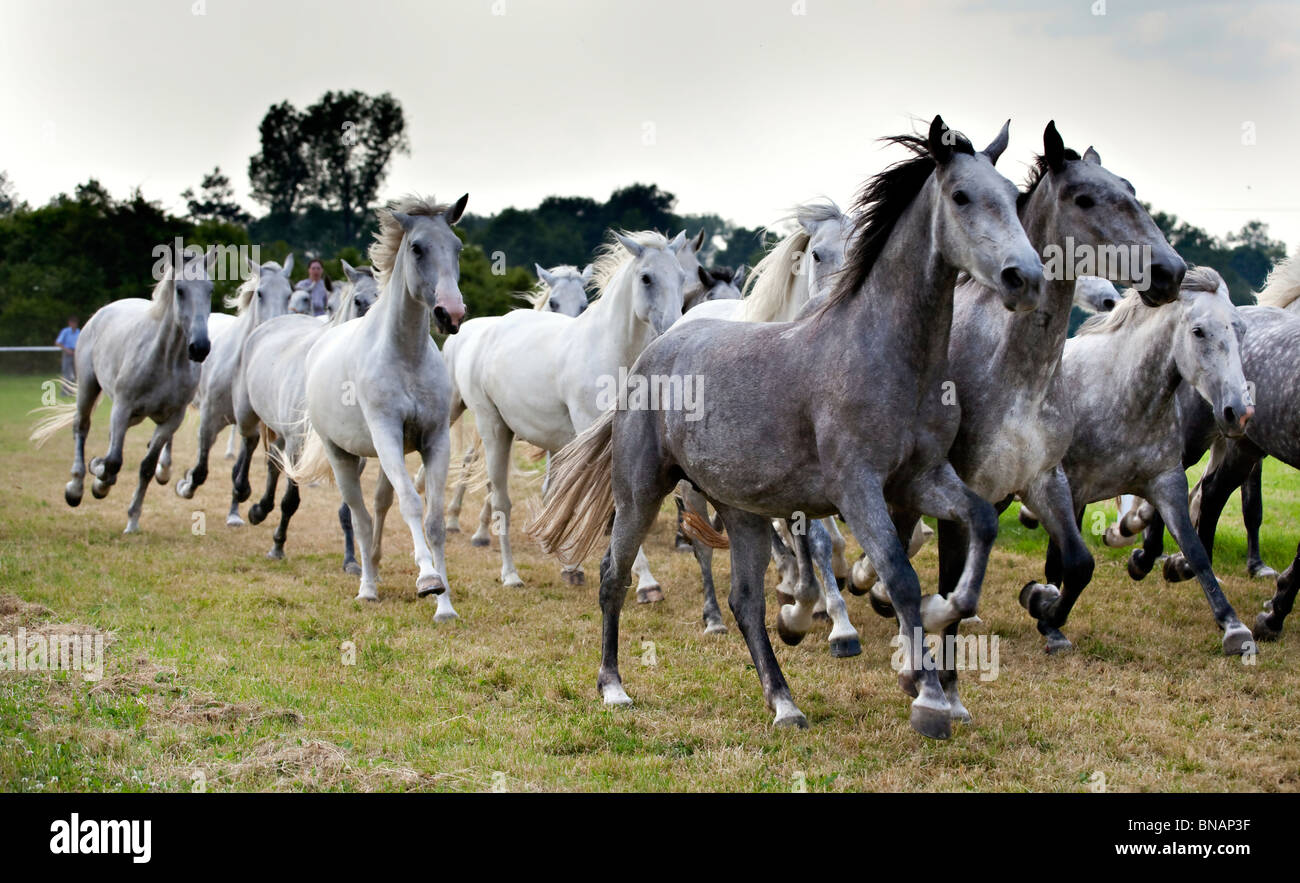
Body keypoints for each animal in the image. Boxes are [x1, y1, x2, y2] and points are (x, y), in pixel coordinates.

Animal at [31, 247, 215, 533]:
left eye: (210, 290)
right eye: (180, 290)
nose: (200, 347)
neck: (165, 359)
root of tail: (102, 312)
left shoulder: (172, 419)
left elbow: (146, 466)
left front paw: (133, 520)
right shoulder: (122, 406)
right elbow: (114, 461)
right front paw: (98, 480)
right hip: (89, 388)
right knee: (81, 428)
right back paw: (77, 487)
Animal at [172, 256, 292, 525]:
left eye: (289, 294)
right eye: (260, 293)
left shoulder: (253, 421)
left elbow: (245, 459)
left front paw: (241, 502)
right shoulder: (210, 417)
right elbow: (200, 469)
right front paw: (185, 484)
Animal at [287, 195, 470, 621]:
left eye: (457, 248)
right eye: (417, 248)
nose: (450, 313)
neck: (406, 355)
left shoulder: (434, 440)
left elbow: (434, 519)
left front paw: (445, 605)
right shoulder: (385, 433)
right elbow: (411, 504)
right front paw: (427, 580)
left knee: (379, 505)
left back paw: (375, 565)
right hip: (343, 456)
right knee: (360, 515)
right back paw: (367, 586)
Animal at [447, 232, 686, 593]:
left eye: (682, 276)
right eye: (646, 278)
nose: (674, 329)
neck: (609, 351)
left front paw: (579, 567)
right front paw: (645, 582)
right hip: (492, 428)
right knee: (499, 497)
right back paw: (509, 573)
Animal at [527, 117, 1045, 738]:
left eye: (1011, 197)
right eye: (962, 196)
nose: (1025, 277)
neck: (887, 353)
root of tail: (655, 351)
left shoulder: (922, 478)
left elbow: (982, 522)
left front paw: (940, 622)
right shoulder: (858, 488)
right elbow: (899, 577)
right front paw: (926, 697)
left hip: (741, 512)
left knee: (746, 602)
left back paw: (785, 703)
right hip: (639, 493)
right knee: (613, 577)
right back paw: (614, 688)